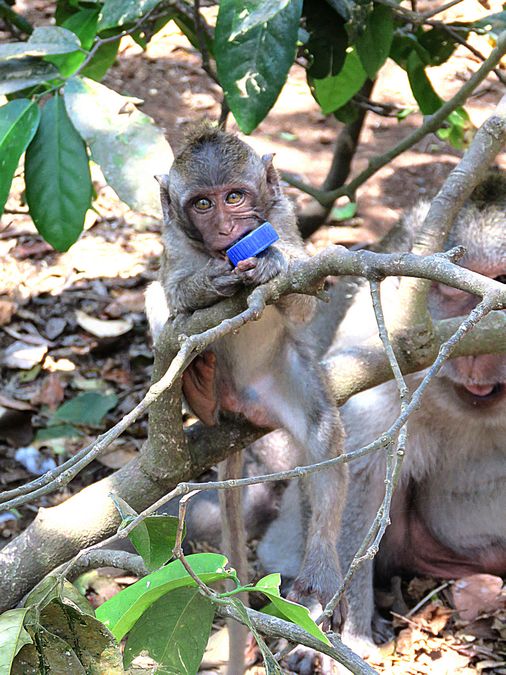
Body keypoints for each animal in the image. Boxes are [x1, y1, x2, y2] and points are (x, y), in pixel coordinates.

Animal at [145, 123, 348, 668]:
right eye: (202, 204)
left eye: (234, 197)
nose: (226, 227)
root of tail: (238, 404)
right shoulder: (173, 240)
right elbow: (171, 293)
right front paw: (207, 282)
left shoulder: (283, 216)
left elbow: (305, 297)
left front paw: (273, 261)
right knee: (159, 310)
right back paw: (199, 388)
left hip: (277, 377)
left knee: (322, 431)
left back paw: (320, 569)